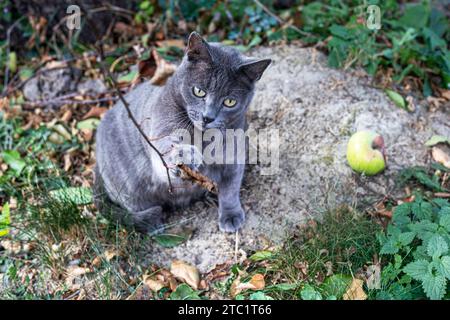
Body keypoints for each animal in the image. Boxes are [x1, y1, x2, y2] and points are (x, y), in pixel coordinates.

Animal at [94, 31, 270, 232]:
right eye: (199, 91)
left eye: (230, 102)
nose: (207, 117)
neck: (204, 138)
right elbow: (167, 156)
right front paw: (186, 155)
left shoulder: (234, 158)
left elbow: (230, 189)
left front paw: (231, 216)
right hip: (130, 190)